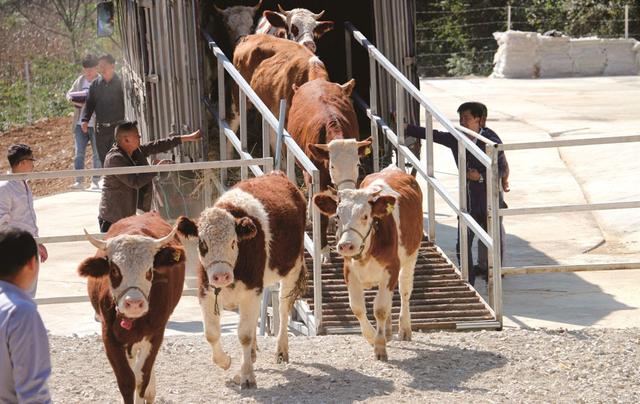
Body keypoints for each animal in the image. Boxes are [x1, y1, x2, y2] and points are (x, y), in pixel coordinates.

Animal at [77, 213, 195, 402]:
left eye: (149, 270)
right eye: (114, 270)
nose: (133, 303)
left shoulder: (156, 333)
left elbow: (141, 378)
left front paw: (146, 390)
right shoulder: (109, 336)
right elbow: (126, 380)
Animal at [178, 171, 308, 388]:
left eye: (233, 242)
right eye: (203, 244)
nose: (221, 276)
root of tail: (277, 174)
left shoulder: (251, 289)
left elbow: (244, 335)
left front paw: (247, 375)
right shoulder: (206, 291)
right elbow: (211, 333)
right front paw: (225, 361)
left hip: (292, 268)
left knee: (283, 309)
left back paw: (281, 350)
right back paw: (254, 352)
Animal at [312, 166, 422, 362]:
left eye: (365, 216)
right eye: (337, 217)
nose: (346, 245)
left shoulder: (391, 268)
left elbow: (380, 308)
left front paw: (380, 347)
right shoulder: (349, 271)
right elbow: (357, 307)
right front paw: (372, 337)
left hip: (411, 256)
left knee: (404, 291)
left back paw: (404, 328)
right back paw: (387, 331)